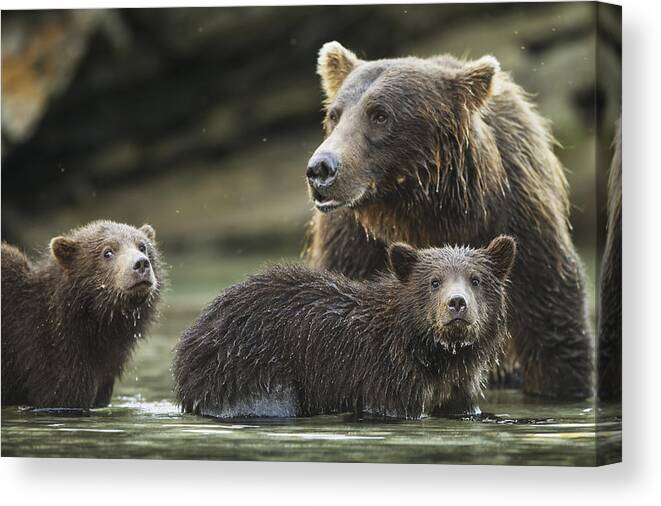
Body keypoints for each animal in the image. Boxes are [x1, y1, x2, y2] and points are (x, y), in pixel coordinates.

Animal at [304, 42, 592, 400]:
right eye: (334, 114)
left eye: (380, 114)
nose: (321, 168)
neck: (423, 209)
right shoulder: (352, 244)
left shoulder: (520, 223)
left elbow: (553, 329)